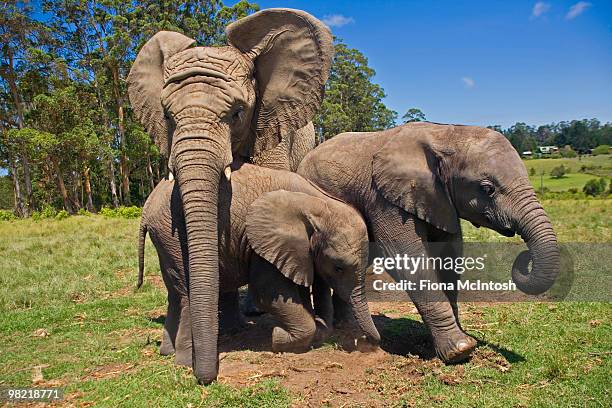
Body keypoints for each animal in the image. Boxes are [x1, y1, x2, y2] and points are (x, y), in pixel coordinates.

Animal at [137, 163, 380, 366]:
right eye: (338, 268)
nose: (367, 346)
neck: (320, 205)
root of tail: (147, 208)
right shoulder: (263, 245)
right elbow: (268, 293)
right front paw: (278, 337)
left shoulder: (296, 253)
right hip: (172, 236)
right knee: (184, 291)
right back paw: (185, 362)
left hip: (164, 240)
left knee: (174, 292)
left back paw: (167, 353)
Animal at [296, 122, 560, 364]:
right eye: (488, 189)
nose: (523, 259)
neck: (446, 134)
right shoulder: (385, 198)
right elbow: (405, 255)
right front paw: (460, 350)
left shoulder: (441, 200)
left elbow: (449, 255)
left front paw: (459, 339)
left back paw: (347, 327)